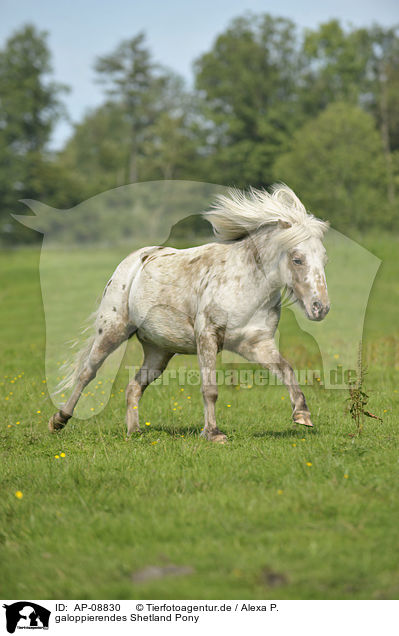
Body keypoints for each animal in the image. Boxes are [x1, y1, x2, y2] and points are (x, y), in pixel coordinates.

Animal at [49, 184, 332, 442]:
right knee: (87, 373)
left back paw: (134, 432)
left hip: (159, 351)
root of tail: (134, 260)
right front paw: (213, 433)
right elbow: (210, 389)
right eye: (297, 259)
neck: (246, 285)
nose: (321, 308)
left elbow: (286, 369)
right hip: (113, 330)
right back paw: (59, 420)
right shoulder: (207, 337)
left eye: (324, 259)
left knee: (133, 386)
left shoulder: (255, 343)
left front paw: (302, 414)